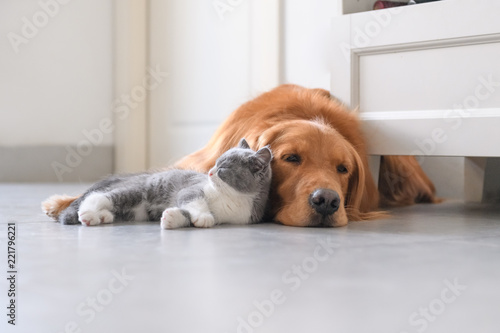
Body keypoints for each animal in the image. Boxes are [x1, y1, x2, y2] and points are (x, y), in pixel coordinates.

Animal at [57, 138, 274, 228]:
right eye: (215, 163)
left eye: (223, 168)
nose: (210, 172)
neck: (234, 197)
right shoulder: (191, 190)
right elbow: (194, 201)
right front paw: (204, 217)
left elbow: (187, 214)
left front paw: (172, 218)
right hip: (136, 191)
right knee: (99, 196)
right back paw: (89, 213)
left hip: (137, 212)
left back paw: (102, 216)